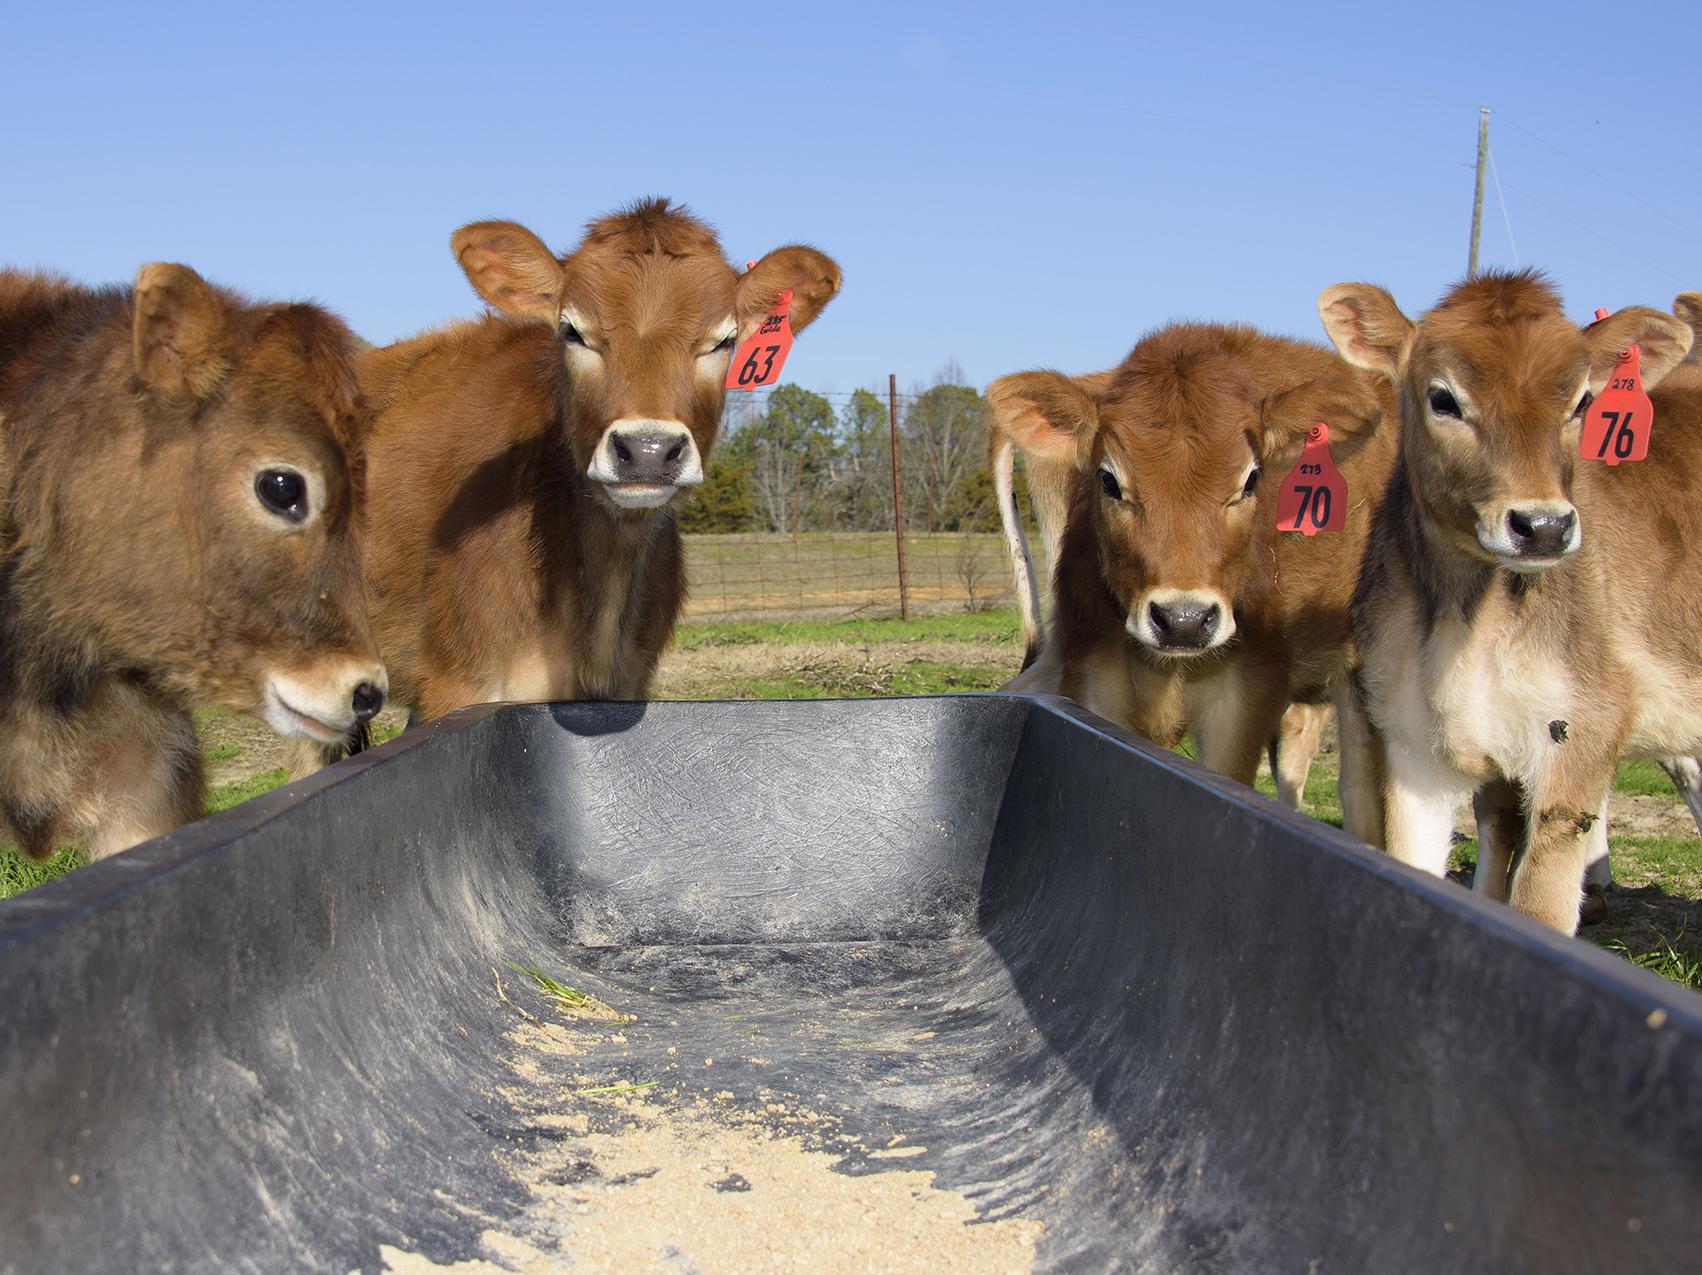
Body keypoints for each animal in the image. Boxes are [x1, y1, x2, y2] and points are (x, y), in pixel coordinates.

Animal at [1320, 268, 1695, 932]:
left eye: (1582, 403)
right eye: (1443, 398)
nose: (1543, 526)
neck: (1465, 624)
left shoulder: (1579, 736)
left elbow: (1540, 910)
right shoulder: (1410, 743)